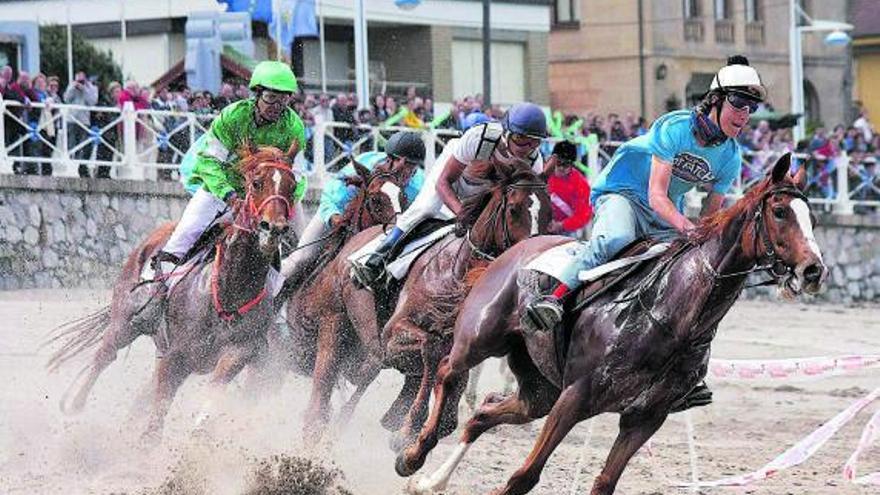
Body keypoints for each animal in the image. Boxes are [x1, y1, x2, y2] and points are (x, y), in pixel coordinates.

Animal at [45, 141, 306, 440]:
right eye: (256, 182)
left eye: (291, 186)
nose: (273, 229)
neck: (229, 292)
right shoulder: (175, 356)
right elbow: (154, 425)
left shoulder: (238, 351)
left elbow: (215, 389)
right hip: (125, 320)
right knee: (104, 355)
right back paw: (74, 406)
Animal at [300, 168, 552, 446]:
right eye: (514, 209)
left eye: (549, 212)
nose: (535, 263)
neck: (457, 272)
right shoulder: (392, 335)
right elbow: (430, 349)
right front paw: (409, 426)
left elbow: (449, 385)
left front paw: (410, 423)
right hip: (335, 320)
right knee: (324, 390)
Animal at [396, 153, 828, 494]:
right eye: (779, 212)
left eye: (812, 217)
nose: (813, 270)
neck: (673, 317)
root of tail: (512, 249)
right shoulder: (575, 397)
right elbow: (524, 476)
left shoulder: (644, 418)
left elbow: (604, 482)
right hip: (480, 339)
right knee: (447, 370)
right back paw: (411, 453)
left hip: (540, 389)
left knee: (484, 413)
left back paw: (430, 481)